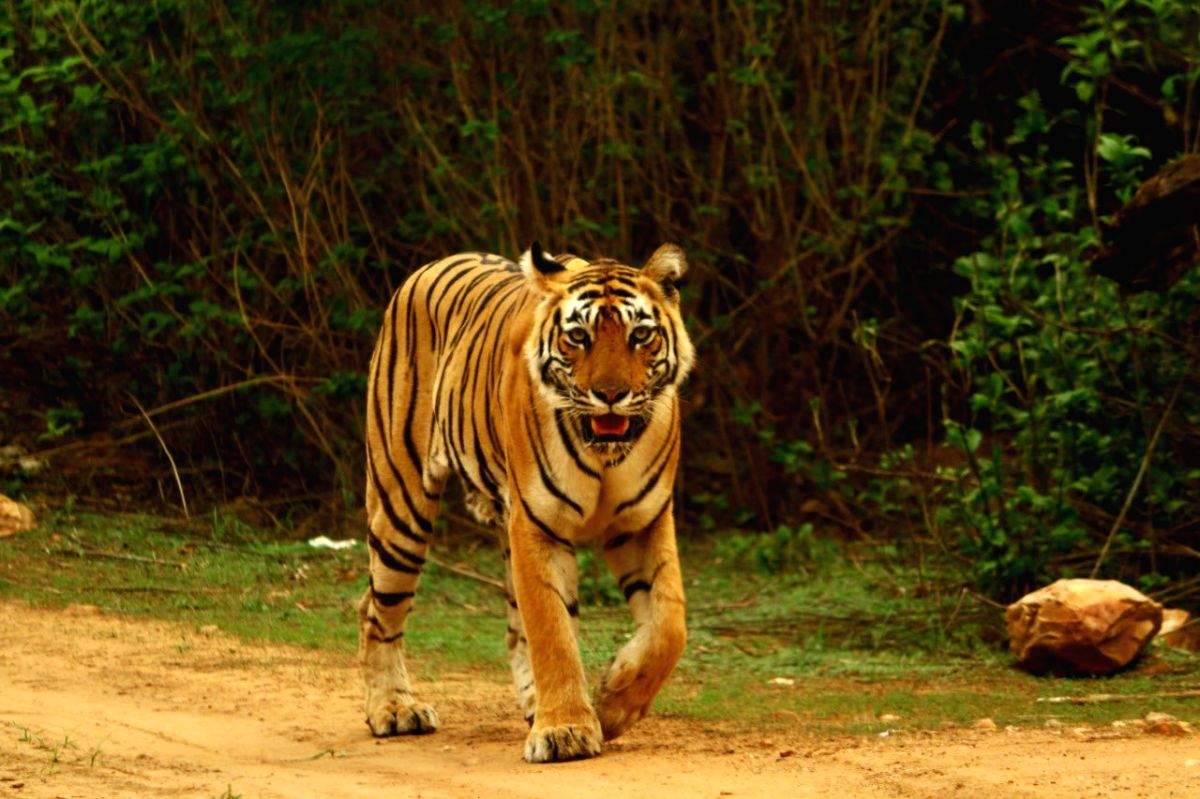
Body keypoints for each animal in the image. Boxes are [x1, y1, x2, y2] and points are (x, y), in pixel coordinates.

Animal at [358, 242, 694, 762]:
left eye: (640, 335)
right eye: (578, 337)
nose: (611, 395)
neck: (605, 456)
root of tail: (432, 264)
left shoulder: (643, 522)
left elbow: (669, 627)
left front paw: (612, 703)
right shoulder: (537, 524)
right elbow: (552, 631)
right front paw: (566, 730)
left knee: (512, 626)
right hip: (401, 506)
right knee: (378, 612)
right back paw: (394, 709)